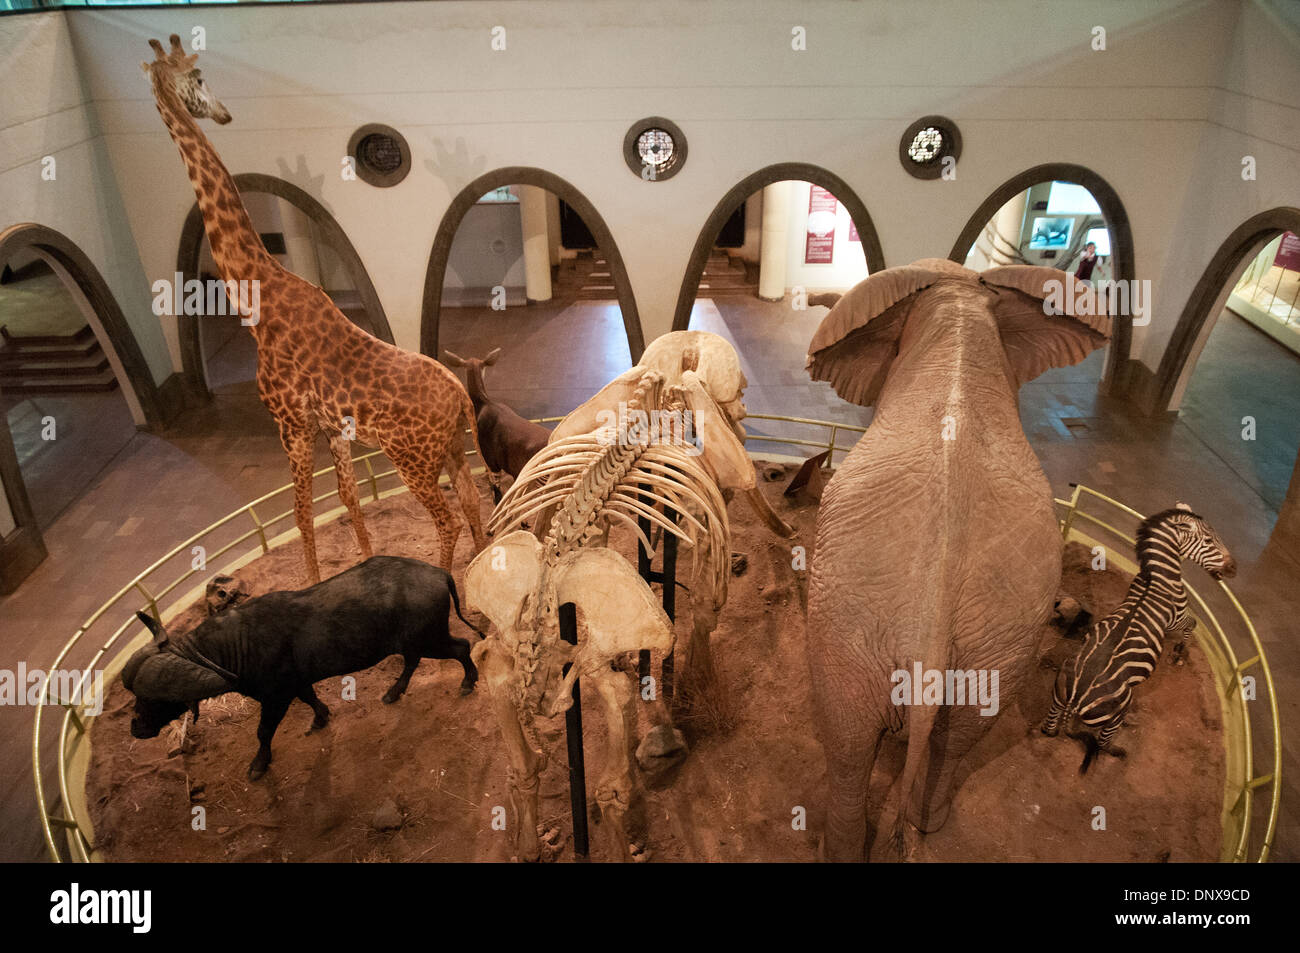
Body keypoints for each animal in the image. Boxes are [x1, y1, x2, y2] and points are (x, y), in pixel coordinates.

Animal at [122, 553, 483, 774]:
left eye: (154, 697)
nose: (136, 728)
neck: (236, 644)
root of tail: (439, 573)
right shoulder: (297, 683)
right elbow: (311, 698)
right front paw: (321, 718)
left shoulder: (276, 697)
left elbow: (264, 731)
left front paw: (259, 765)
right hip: (414, 641)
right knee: (413, 660)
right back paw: (393, 693)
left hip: (431, 637)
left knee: (462, 646)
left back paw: (467, 682)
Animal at [146, 37, 483, 579]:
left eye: (199, 76)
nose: (224, 113)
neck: (258, 298)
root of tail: (460, 395)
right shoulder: (331, 428)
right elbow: (349, 498)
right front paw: (365, 561)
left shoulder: (290, 423)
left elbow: (302, 512)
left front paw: (310, 580)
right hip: (451, 448)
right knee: (474, 505)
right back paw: (481, 559)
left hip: (412, 459)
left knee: (447, 520)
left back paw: (446, 573)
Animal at [806, 256, 1112, 858]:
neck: (960, 299)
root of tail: (933, 628)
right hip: (991, 646)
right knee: (954, 735)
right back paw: (924, 825)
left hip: (847, 632)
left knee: (850, 747)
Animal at [1040, 501, 1232, 769]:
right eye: (1208, 540)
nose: (1233, 568)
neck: (1157, 579)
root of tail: (1074, 701)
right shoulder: (1175, 619)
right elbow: (1192, 625)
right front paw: (1179, 654)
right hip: (1117, 709)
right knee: (1103, 742)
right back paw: (1119, 750)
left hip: (1057, 694)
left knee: (1049, 730)